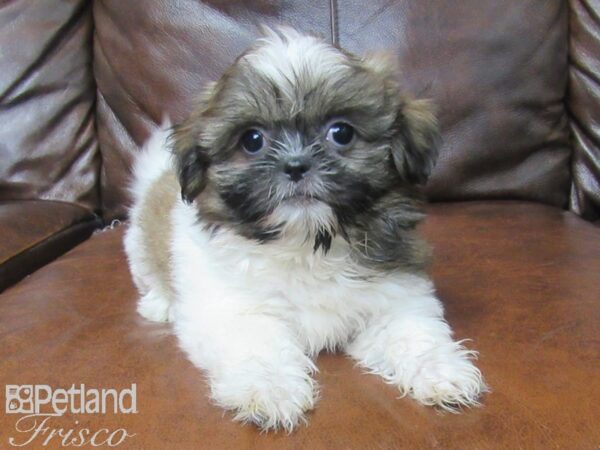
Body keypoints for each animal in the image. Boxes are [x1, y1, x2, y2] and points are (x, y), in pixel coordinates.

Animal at [124, 25, 486, 432]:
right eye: (252, 140)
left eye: (341, 133)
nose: (296, 165)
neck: (308, 244)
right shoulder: (233, 310)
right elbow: (259, 345)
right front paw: (269, 390)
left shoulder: (396, 296)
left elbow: (413, 333)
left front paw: (440, 371)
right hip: (138, 250)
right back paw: (159, 305)